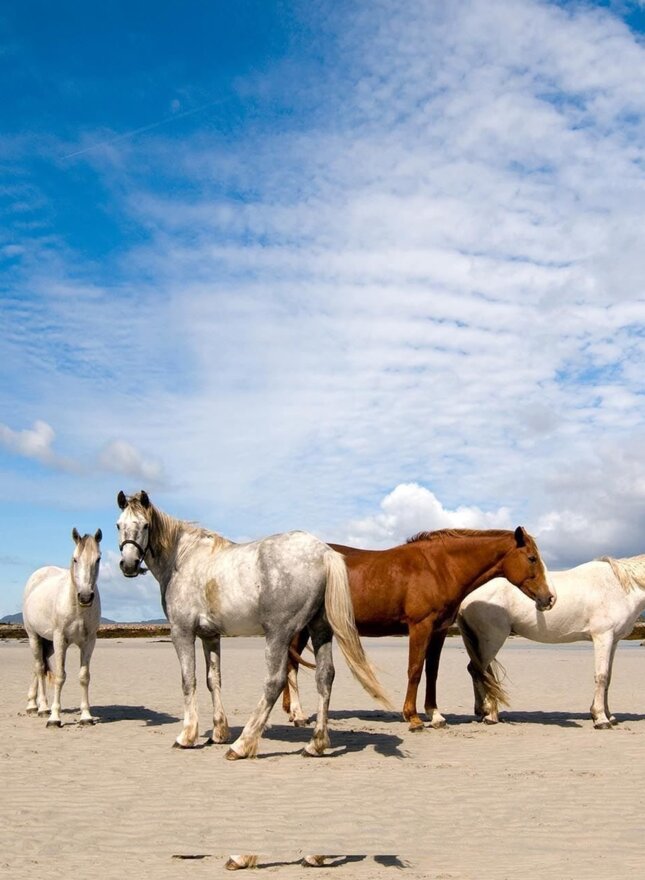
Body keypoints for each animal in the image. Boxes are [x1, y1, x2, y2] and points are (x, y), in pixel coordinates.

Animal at [23, 528, 103, 727]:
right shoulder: (60, 640)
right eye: (75, 559)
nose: (85, 596)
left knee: (38, 667)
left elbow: (84, 677)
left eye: (98, 559)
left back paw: (33, 704)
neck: (77, 607)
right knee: (39, 667)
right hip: (34, 637)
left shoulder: (89, 642)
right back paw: (42, 708)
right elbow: (60, 676)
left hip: (47, 643)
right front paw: (54, 717)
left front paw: (86, 716)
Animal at [116, 490, 390, 759]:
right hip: (320, 631)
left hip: (279, 634)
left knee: (274, 682)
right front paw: (219, 732)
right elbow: (213, 680)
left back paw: (242, 745)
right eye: (119, 524)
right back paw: (316, 744)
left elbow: (188, 680)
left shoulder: (182, 632)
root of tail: (323, 553)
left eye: (145, 525)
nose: (129, 565)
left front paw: (187, 736)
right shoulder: (210, 636)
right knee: (325, 677)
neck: (183, 558)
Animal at [283, 528, 555, 731]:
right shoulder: (420, 626)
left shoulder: (439, 630)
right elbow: (414, 669)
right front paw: (412, 717)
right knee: (291, 665)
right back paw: (298, 714)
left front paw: (435, 715)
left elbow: (431, 672)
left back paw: (291, 711)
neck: (438, 568)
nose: (549, 598)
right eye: (531, 558)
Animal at [457, 553, 645, 729]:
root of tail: (467, 599)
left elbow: (609, 677)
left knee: (479, 672)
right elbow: (601, 676)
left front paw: (609, 716)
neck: (617, 587)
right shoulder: (603, 637)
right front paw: (600, 718)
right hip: (492, 639)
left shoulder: (613, 641)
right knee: (478, 671)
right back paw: (490, 715)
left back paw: (484, 711)